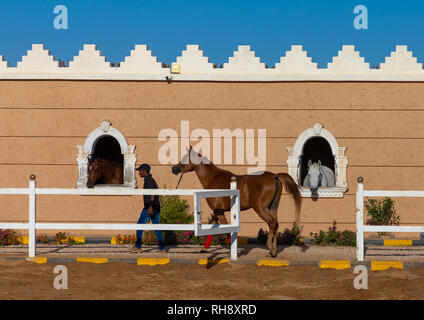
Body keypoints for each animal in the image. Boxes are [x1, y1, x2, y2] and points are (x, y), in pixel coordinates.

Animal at [172, 148, 302, 258]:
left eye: (184, 158)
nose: (174, 169)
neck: (213, 178)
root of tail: (274, 176)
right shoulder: (217, 211)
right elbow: (213, 228)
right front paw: (204, 249)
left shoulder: (218, 211)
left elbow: (226, 230)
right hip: (273, 207)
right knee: (276, 224)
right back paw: (273, 251)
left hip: (260, 208)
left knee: (272, 223)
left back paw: (269, 247)